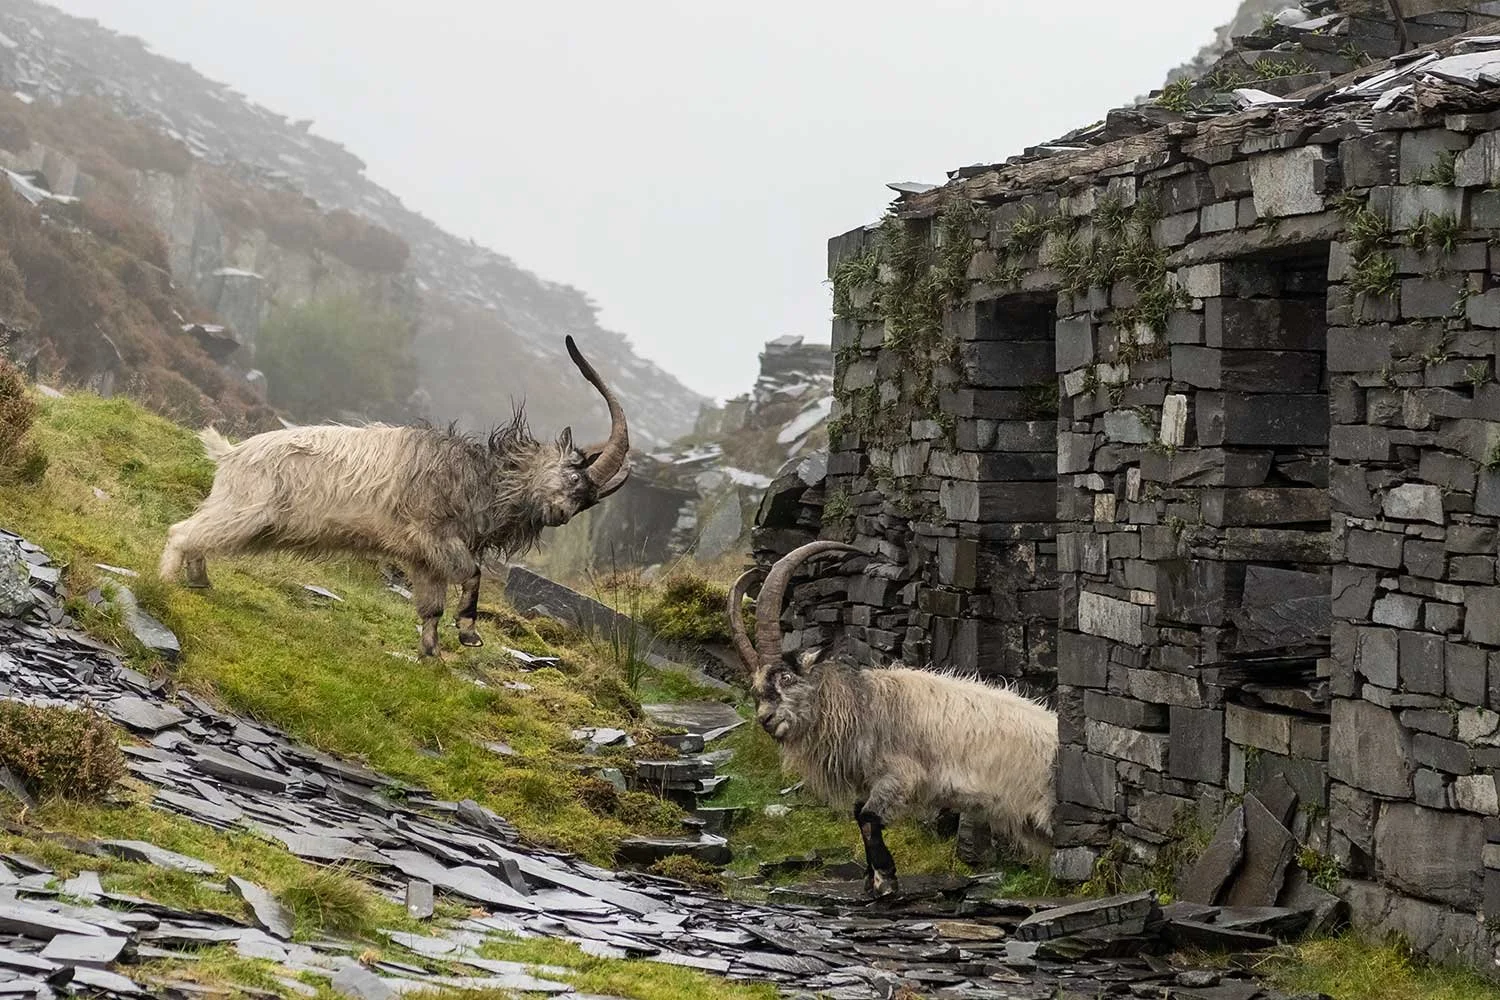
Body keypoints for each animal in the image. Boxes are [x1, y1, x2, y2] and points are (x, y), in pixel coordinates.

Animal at [159, 335, 630, 657]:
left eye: (589, 500)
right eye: (574, 475)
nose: (562, 514)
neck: (482, 478)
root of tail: (230, 453)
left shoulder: (423, 557)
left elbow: (430, 606)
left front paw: (431, 654)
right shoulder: (433, 536)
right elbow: (472, 573)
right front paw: (469, 633)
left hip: (249, 517)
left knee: (199, 536)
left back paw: (199, 581)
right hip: (247, 508)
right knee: (182, 531)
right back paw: (166, 580)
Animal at [729, 540, 1058, 897]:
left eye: (786, 678)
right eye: (756, 688)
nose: (766, 720)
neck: (865, 707)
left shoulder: (900, 776)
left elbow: (868, 816)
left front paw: (885, 879)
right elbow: (859, 813)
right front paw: (872, 880)